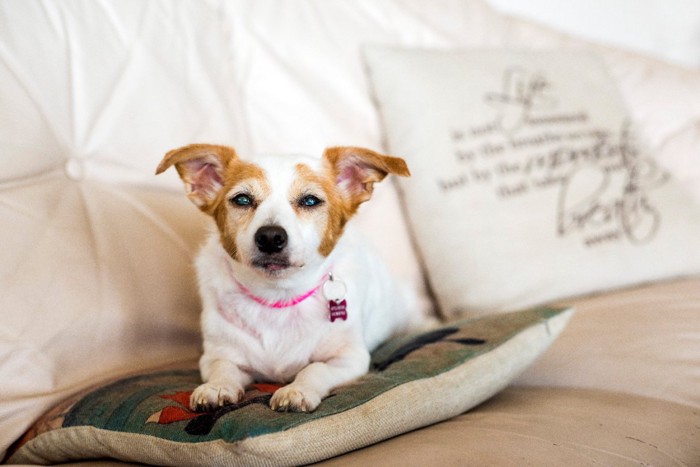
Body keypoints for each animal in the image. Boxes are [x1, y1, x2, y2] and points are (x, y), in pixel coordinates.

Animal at [157, 145, 426, 414]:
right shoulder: (216, 356)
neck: (278, 296)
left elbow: (315, 369)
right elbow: (224, 369)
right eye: (242, 199)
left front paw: (297, 391)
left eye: (310, 200)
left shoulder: (349, 359)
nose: (270, 236)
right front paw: (216, 387)